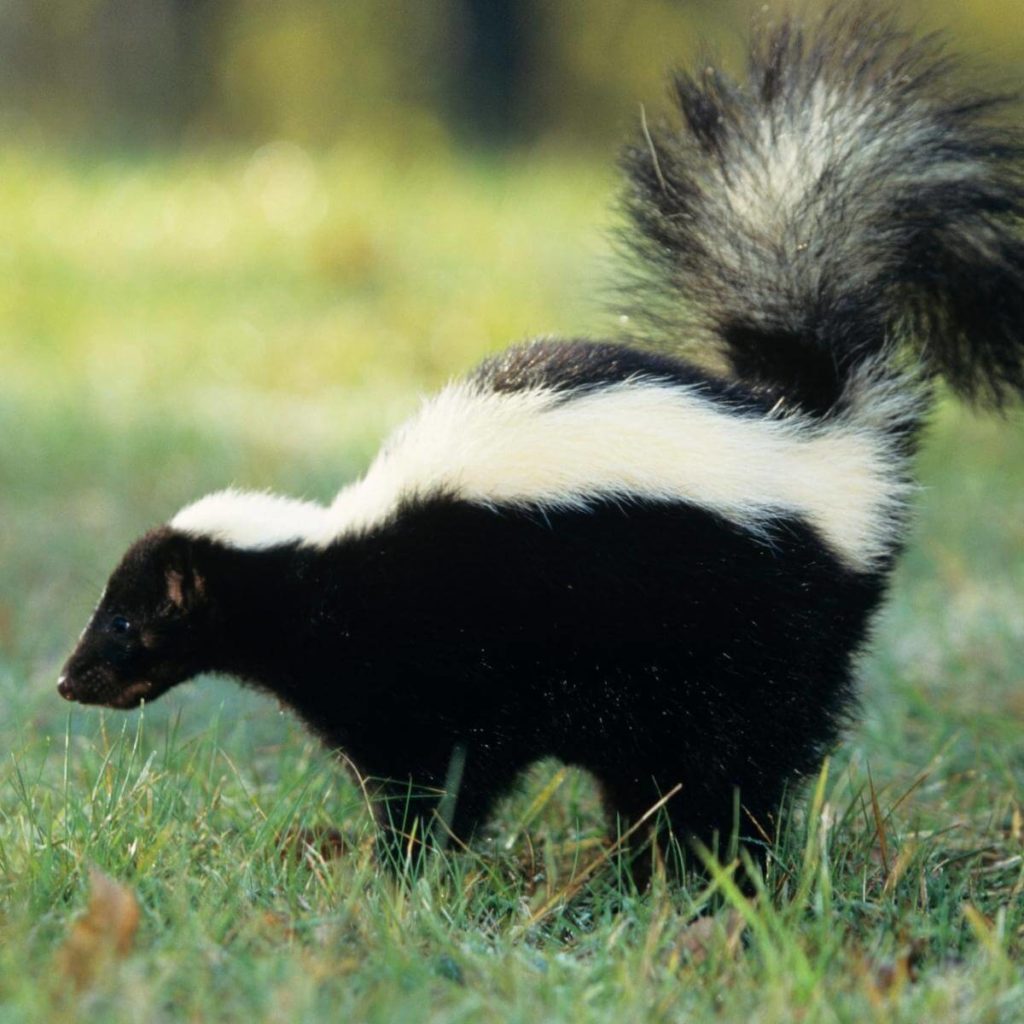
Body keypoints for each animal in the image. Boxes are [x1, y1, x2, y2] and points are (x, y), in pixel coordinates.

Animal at [58, 8, 1024, 872]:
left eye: (125, 619)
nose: (70, 680)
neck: (324, 560)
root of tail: (818, 428)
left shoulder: (431, 670)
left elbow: (437, 777)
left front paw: (404, 867)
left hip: (750, 638)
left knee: (740, 762)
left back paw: (719, 869)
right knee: (661, 776)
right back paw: (646, 863)